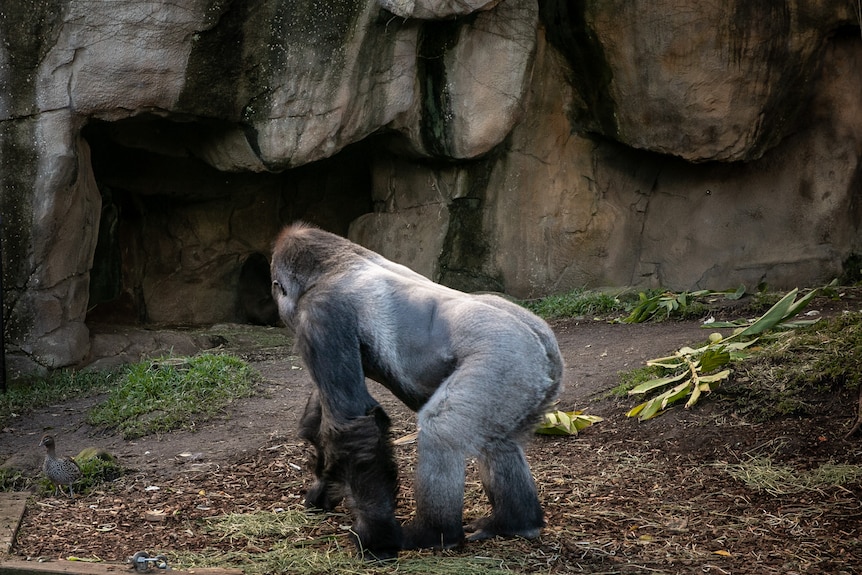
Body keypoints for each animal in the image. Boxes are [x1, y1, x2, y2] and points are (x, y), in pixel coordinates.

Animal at [272, 223, 568, 560]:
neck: (340, 263)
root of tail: (544, 343)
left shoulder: (321, 314)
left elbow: (352, 425)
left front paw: (377, 537)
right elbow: (323, 418)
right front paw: (325, 484)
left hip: (507, 358)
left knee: (441, 431)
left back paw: (435, 534)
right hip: (528, 381)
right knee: (499, 443)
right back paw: (515, 523)